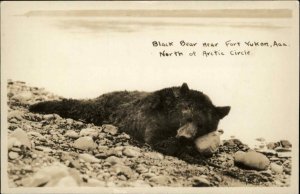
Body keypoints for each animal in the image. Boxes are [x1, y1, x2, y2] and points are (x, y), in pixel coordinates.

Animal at [29, 84, 231, 158]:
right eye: (186, 115)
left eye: (202, 125)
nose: (185, 136)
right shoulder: (152, 121)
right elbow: (160, 140)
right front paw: (183, 147)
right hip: (99, 109)